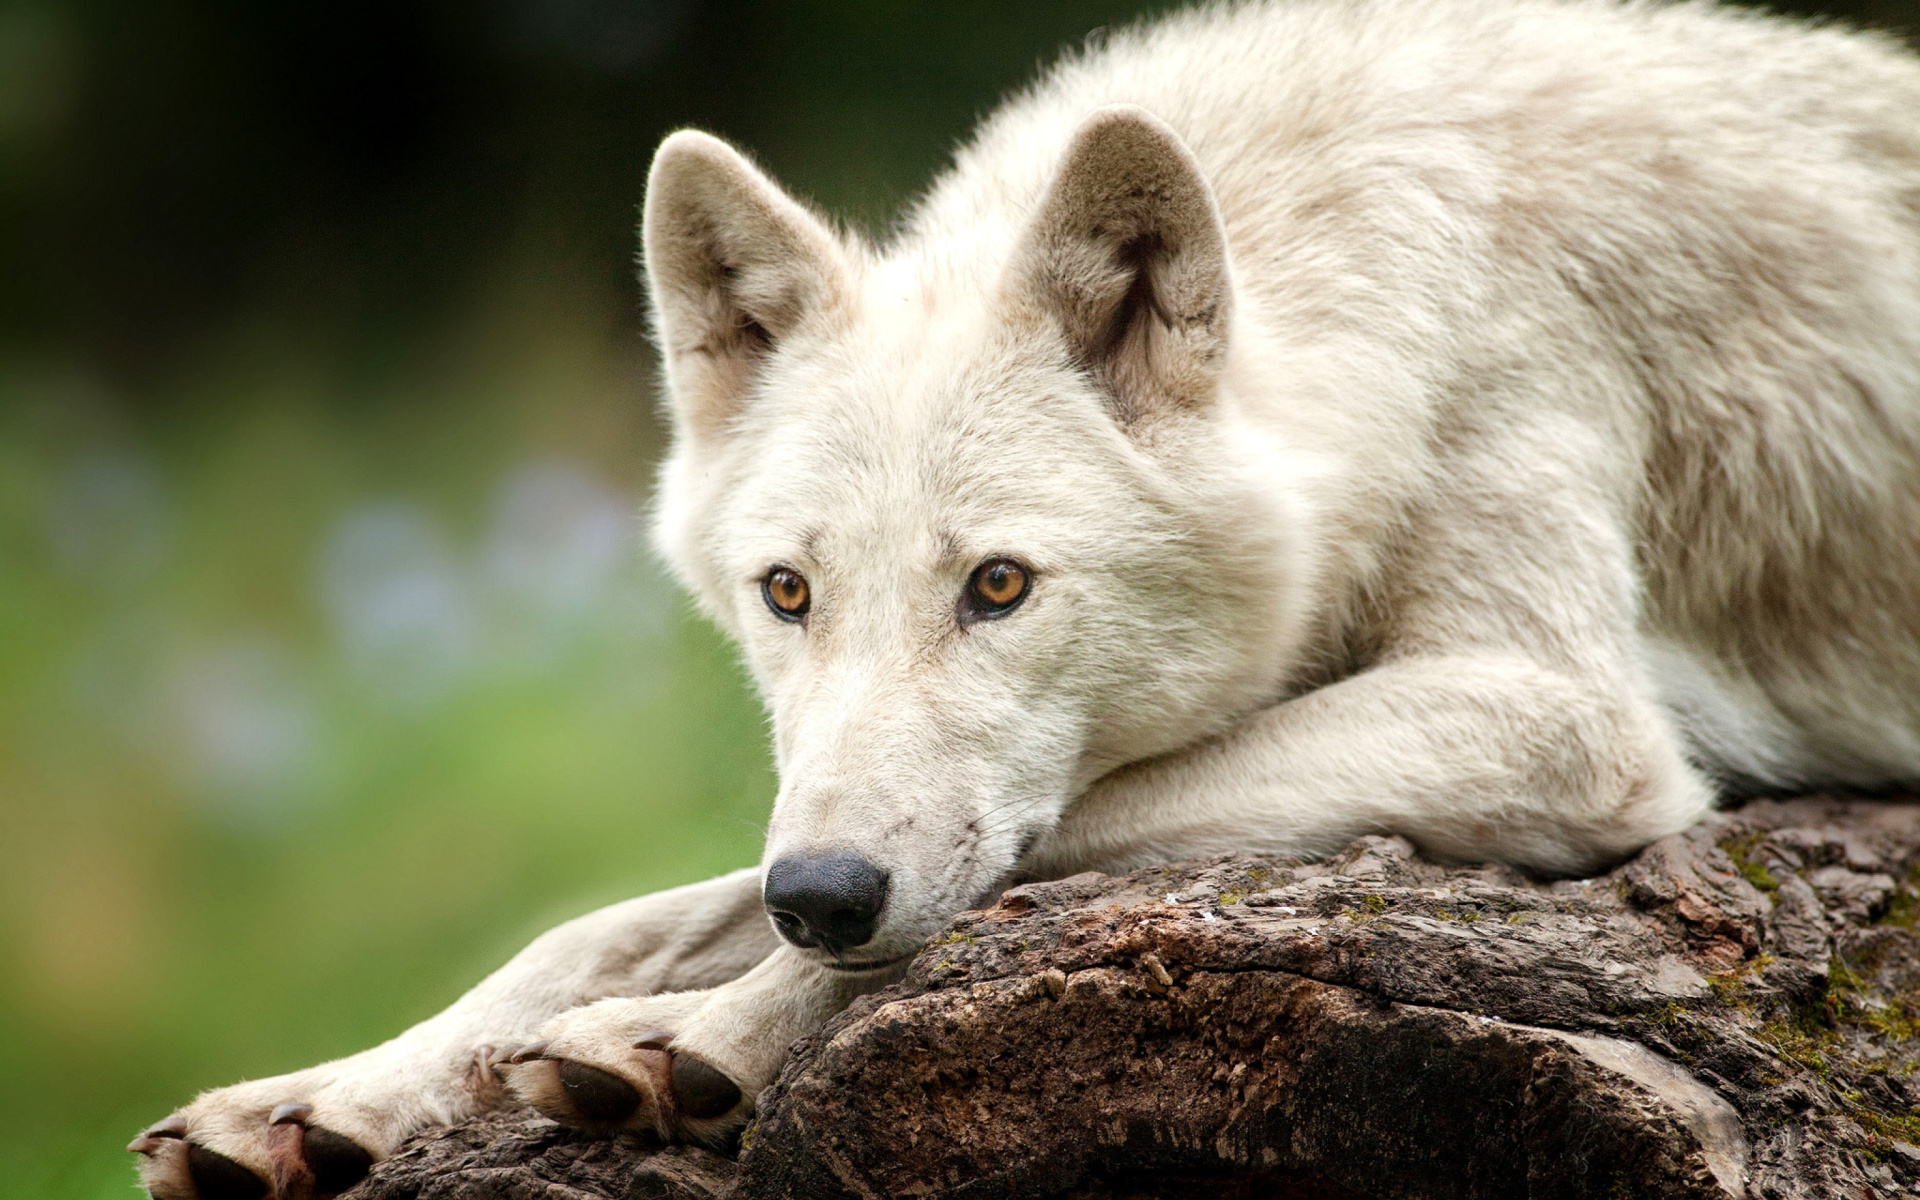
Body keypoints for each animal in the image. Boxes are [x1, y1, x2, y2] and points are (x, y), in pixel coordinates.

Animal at [131, 0, 1920, 1190]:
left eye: (999, 586)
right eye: (787, 592)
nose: (821, 897)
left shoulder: (1565, 719)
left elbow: (1051, 840)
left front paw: (705, 1032)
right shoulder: (807, 816)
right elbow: (611, 918)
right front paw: (332, 1095)